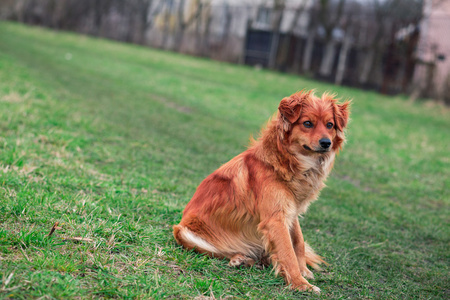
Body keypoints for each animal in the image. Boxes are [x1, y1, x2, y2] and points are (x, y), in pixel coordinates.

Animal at [174, 91, 350, 292]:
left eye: (330, 125)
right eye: (307, 123)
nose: (326, 143)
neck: (286, 162)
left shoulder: (291, 211)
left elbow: (298, 242)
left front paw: (303, 271)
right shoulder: (275, 219)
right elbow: (288, 252)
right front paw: (300, 284)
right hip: (183, 232)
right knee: (220, 252)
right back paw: (240, 259)